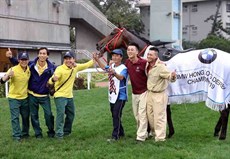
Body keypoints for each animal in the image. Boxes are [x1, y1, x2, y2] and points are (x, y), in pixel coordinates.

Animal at [96, 27, 229, 139]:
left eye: (112, 32)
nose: (98, 45)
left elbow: (163, 112)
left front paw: (155, 132)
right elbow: (167, 112)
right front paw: (167, 132)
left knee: (224, 111)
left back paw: (222, 135)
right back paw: (217, 131)